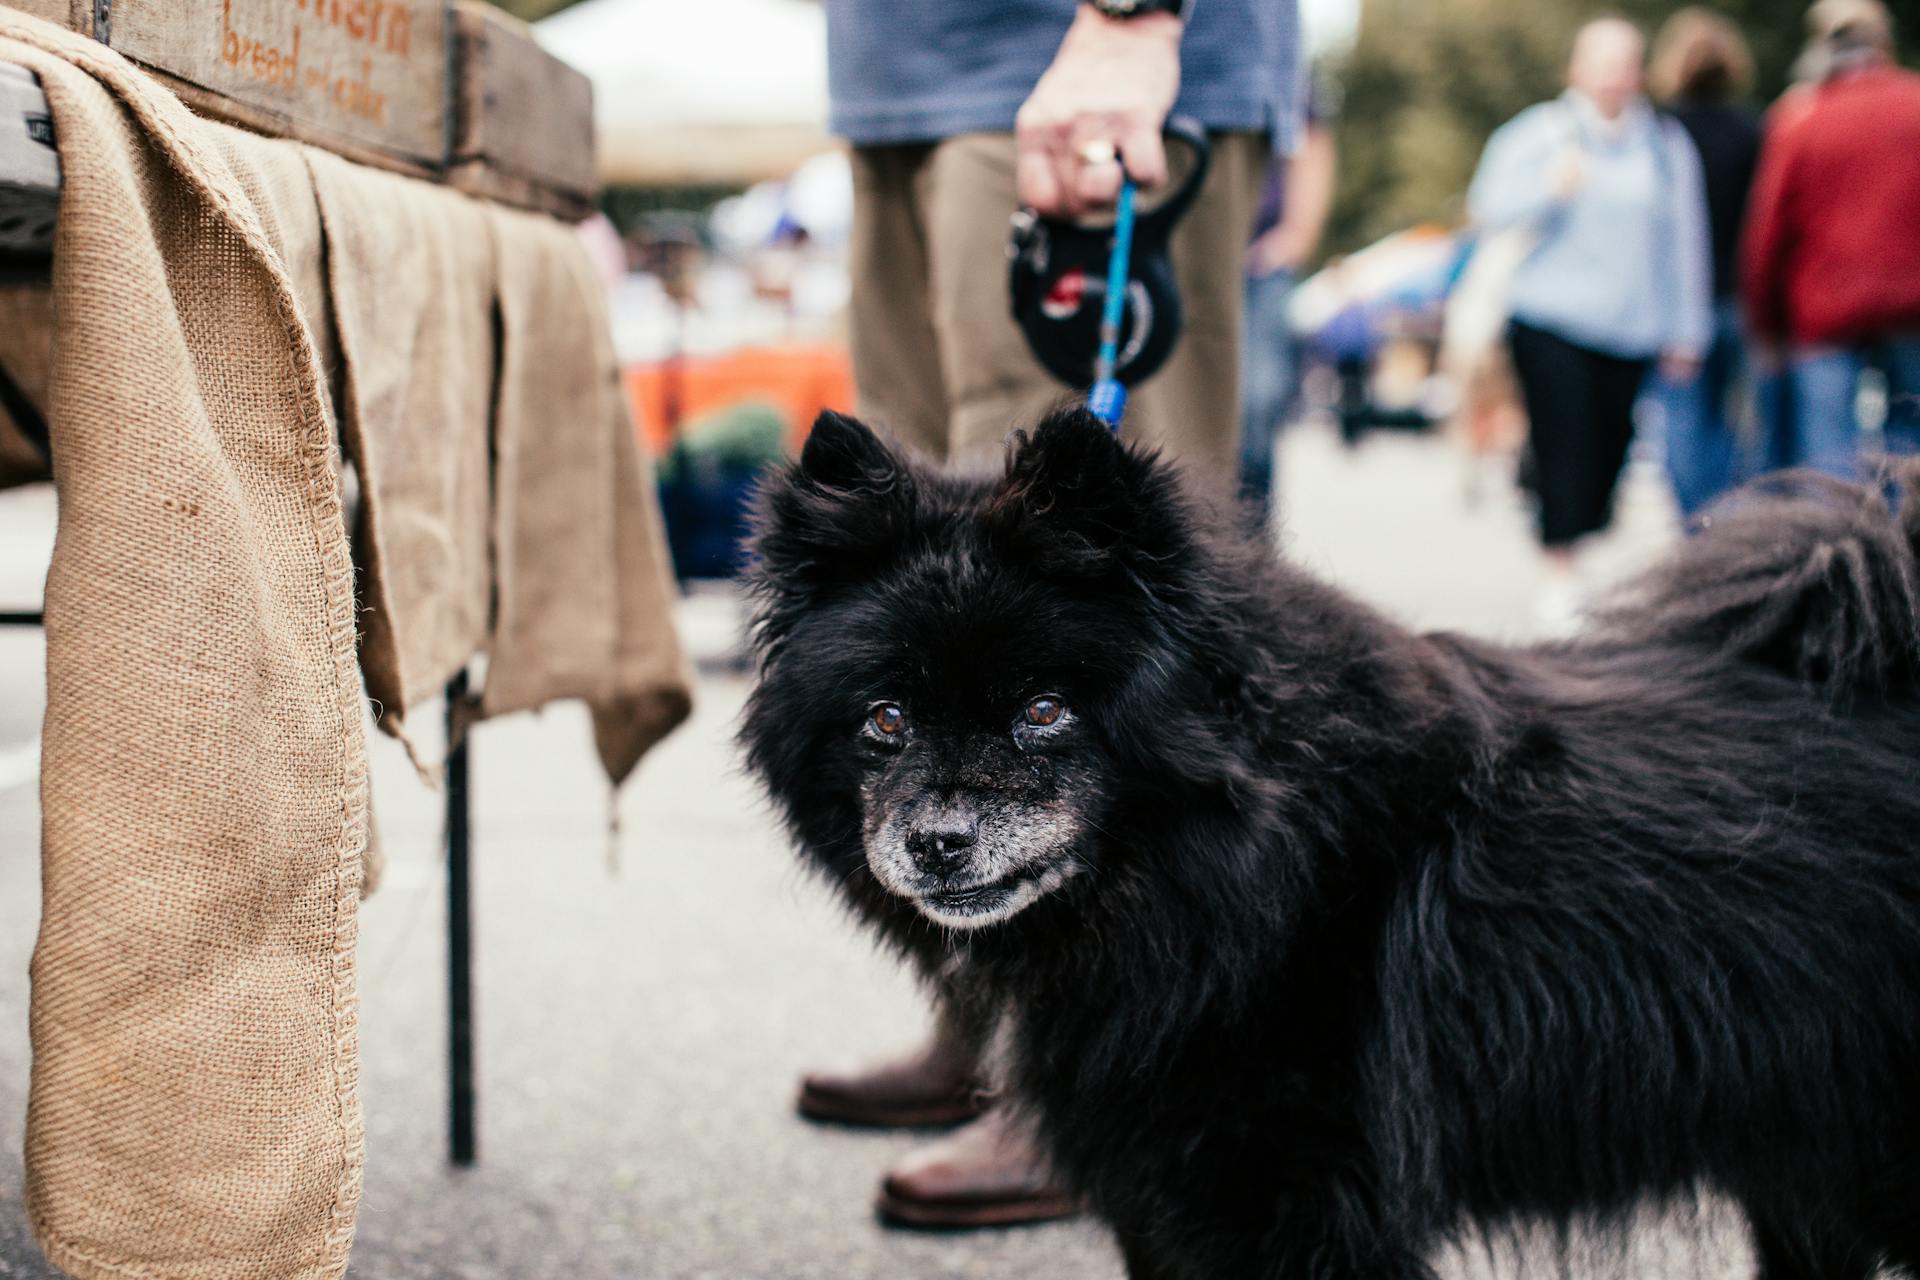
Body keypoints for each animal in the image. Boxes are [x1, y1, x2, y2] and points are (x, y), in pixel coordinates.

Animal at [737, 412, 1920, 1280]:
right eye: (886, 720)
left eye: (1042, 711)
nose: (936, 842)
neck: (1246, 864)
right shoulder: (1166, 1192)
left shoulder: (1290, 1202)